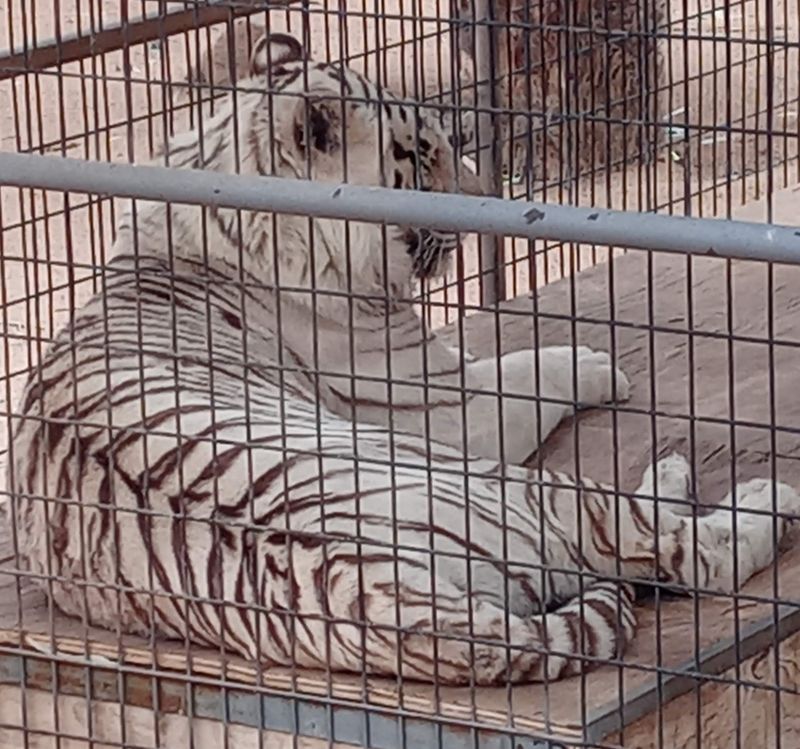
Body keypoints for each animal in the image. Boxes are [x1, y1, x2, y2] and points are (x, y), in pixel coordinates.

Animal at [7, 32, 799, 686]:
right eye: (421, 153)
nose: (487, 194)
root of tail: (378, 595)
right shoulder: (442, 402)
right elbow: (534, 367)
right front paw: (600, 362)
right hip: (520, 487)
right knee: (678, 549)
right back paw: (758, 494)